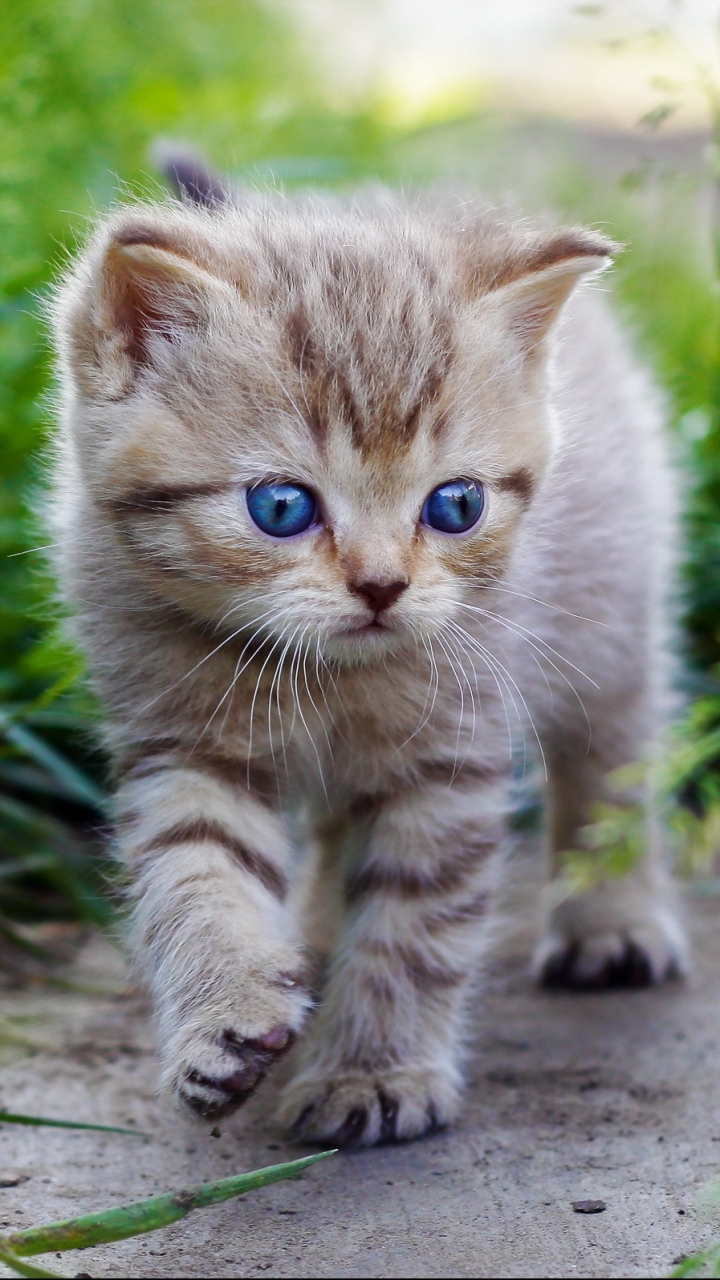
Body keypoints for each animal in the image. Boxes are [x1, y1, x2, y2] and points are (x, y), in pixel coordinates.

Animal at [47, 172, 686, 1152]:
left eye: (456, 505)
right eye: (280, 507)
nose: (383, 586)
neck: (316, 679)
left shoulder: (449, 757)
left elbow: (413, 924)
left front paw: (372, 1072)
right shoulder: (179, 743)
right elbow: (200, 877)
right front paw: (225, 1013)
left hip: (613, 623)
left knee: (610, 764)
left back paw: (611, 920)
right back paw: (306, 937)